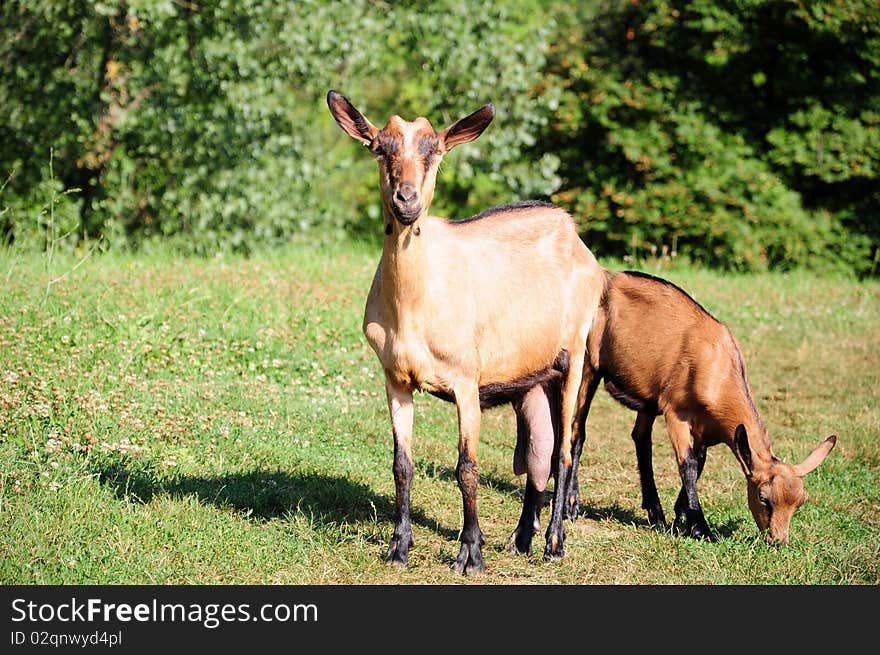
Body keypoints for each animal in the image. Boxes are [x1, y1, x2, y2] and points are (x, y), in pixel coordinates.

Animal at [326, 92, 608, 576]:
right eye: (380, 148)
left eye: (434, 151)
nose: (406, 200)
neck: (414, 306)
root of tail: (574, 236)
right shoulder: (395, 379)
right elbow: (402, 464)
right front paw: (399, 547)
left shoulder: (465, 380)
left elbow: (467, 468)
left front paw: (471, 553)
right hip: (534, 379)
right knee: (540, 451)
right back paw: (520, 539)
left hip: (573, 354)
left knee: (565, 450)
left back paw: (554, 543)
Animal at [560, 270, 836, 544]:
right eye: (763, 498)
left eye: (799, 503)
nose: (778, 541)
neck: (717, 368)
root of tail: (608, 276)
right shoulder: (675, 413)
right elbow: (688, 464)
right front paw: (700, 527)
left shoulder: (707, 429)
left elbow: (699, 462)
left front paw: (680, 516)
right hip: (590, 364)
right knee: (578, 431)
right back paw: (572, 505)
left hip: (648, 397)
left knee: (641, 438)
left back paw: (655, 512)